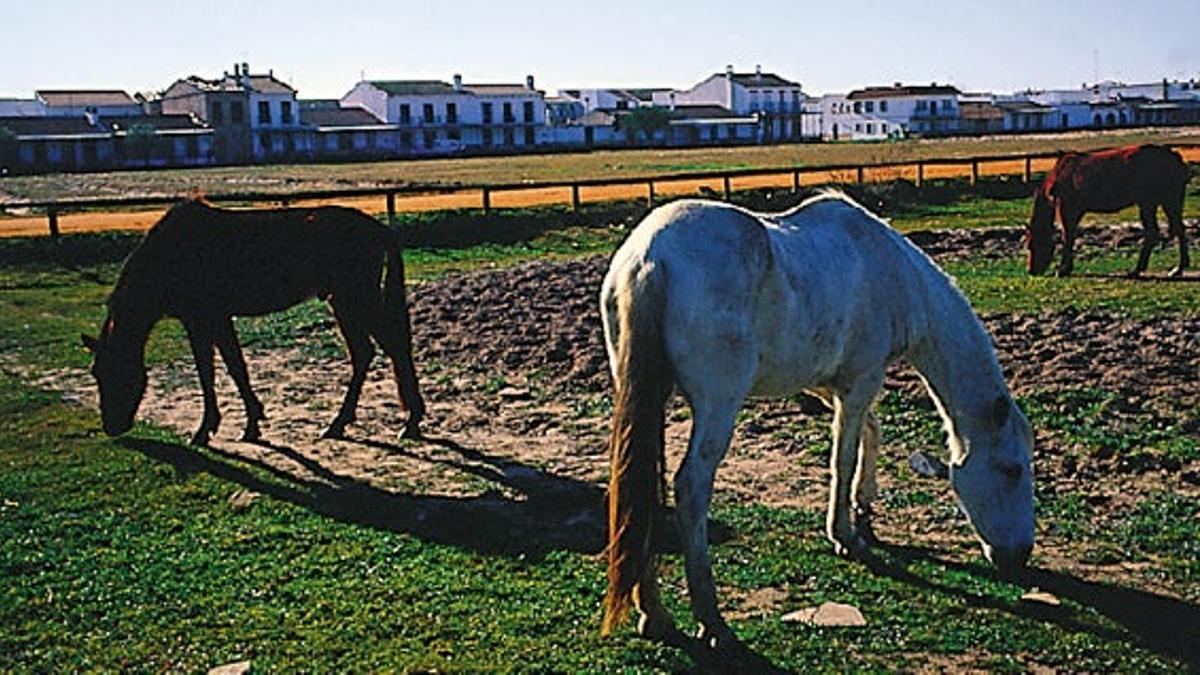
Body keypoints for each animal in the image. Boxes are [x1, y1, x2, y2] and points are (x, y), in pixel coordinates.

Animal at [82, 196, 427, 444]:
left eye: (117, 372)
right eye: (96, 373)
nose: (112, 426)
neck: (171, 254)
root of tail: (378, 229)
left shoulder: (200, 320)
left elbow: (212, 372)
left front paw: (207, 430)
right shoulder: (217, 318)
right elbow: (234, 367)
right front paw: (251, 422)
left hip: (355, 298)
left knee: (393, 347)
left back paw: (408, 422)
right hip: (343, 302)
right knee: (365, 353)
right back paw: (340, 424)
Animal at [604, 192, 1036, 653]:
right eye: (1012, 470)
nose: (1019, 556)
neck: (892, 270)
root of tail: (648, 259)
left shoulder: (830, 383)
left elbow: (869, 432)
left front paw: (864, 505)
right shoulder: (861, 379)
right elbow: (843, 458)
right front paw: (845, 535)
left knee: (641, 485)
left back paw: (654, 613)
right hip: (717, 406)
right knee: (690, 490)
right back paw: (712, 620)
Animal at [1022, 144, 1190, 276]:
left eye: (1031, 244)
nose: (1031, 271)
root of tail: (1175, 157)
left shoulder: (1067, 208)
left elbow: (1067, 237)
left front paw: (1063, 269)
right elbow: (1070, 236)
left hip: (1158, 202)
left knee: (1164, 232)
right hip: (1156, 203)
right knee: (1169, 231)